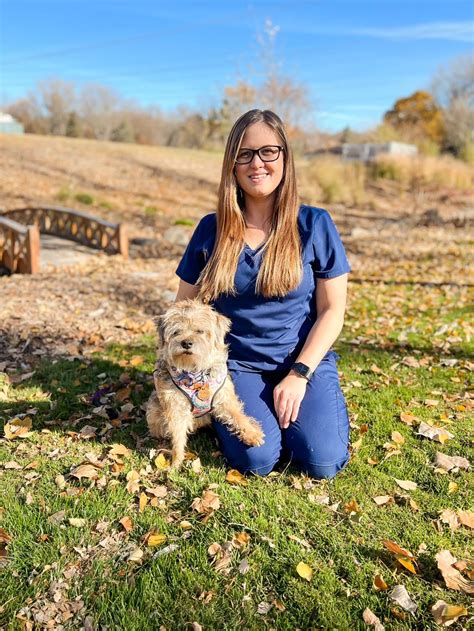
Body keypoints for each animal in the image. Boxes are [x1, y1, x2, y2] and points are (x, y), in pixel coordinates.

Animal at [146, 300, 264, 470]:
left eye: (200, 331)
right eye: (176, 332)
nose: (186, 342)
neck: (196, 373)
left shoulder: (225, 397)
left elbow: (237, 415)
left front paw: (251, 433)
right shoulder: (176, 409)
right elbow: (177, 437)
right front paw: (176, 462)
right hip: (154, 412)